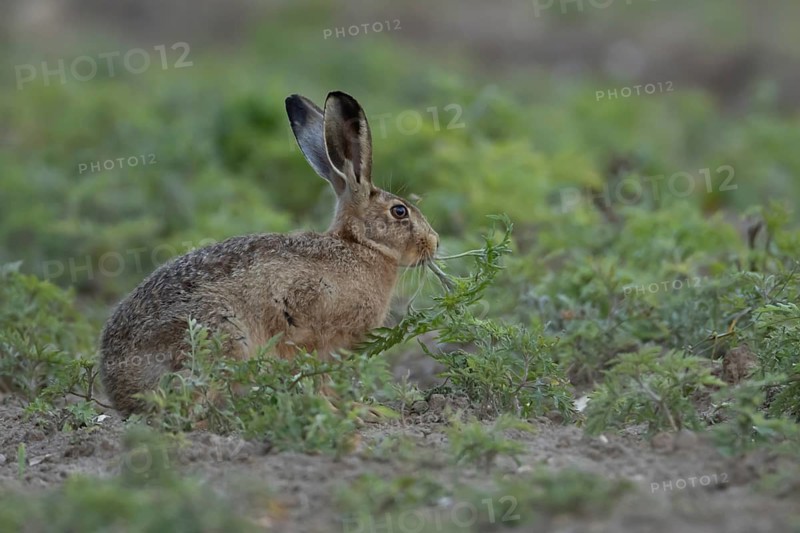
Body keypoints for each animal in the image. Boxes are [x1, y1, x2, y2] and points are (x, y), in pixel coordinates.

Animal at [100, 91, 440, 416]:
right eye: (399, 211)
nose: (434, 242)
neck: (359, 246)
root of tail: (122, 390)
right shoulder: (313, 335)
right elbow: (314, 377)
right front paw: (346, 410)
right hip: (219, 336)